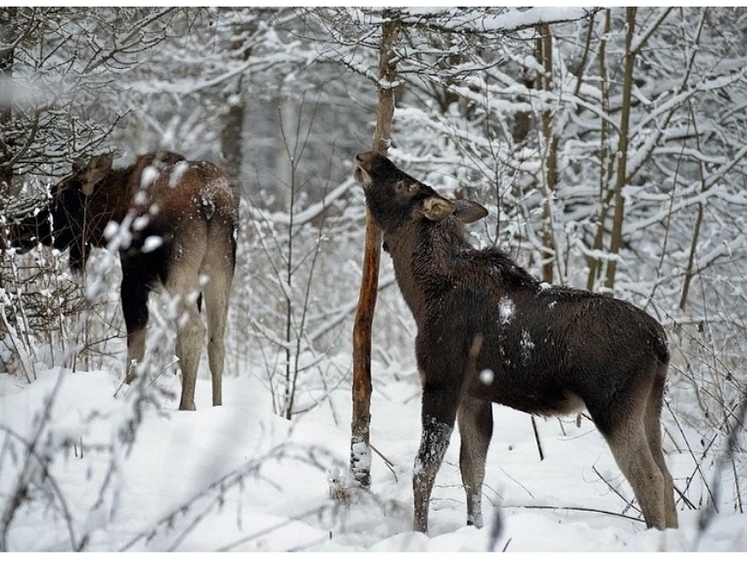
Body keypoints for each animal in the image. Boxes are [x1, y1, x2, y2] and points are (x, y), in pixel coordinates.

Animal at [5, 151, 240, 410]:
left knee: (194, 331)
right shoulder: (194, 289)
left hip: (178, 271)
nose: (18, 230)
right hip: (220, 270)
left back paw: (185, 407)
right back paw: (216, 406)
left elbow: (136, 349)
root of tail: (210, 200)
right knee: (216, 340)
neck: (114, 211)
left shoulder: (132, 281)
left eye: (62, 196)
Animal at [354, 150, 680, 532]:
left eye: (404, 185)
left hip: (614, 405)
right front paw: (475, 527)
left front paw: (419, 532)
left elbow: (425, 468)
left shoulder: (441, 382)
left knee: (648, 477)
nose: (368, 155)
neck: (422, 295)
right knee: (667, 475)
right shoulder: (475, 395)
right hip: (650, 404)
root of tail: (661, 343)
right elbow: (472, 470)